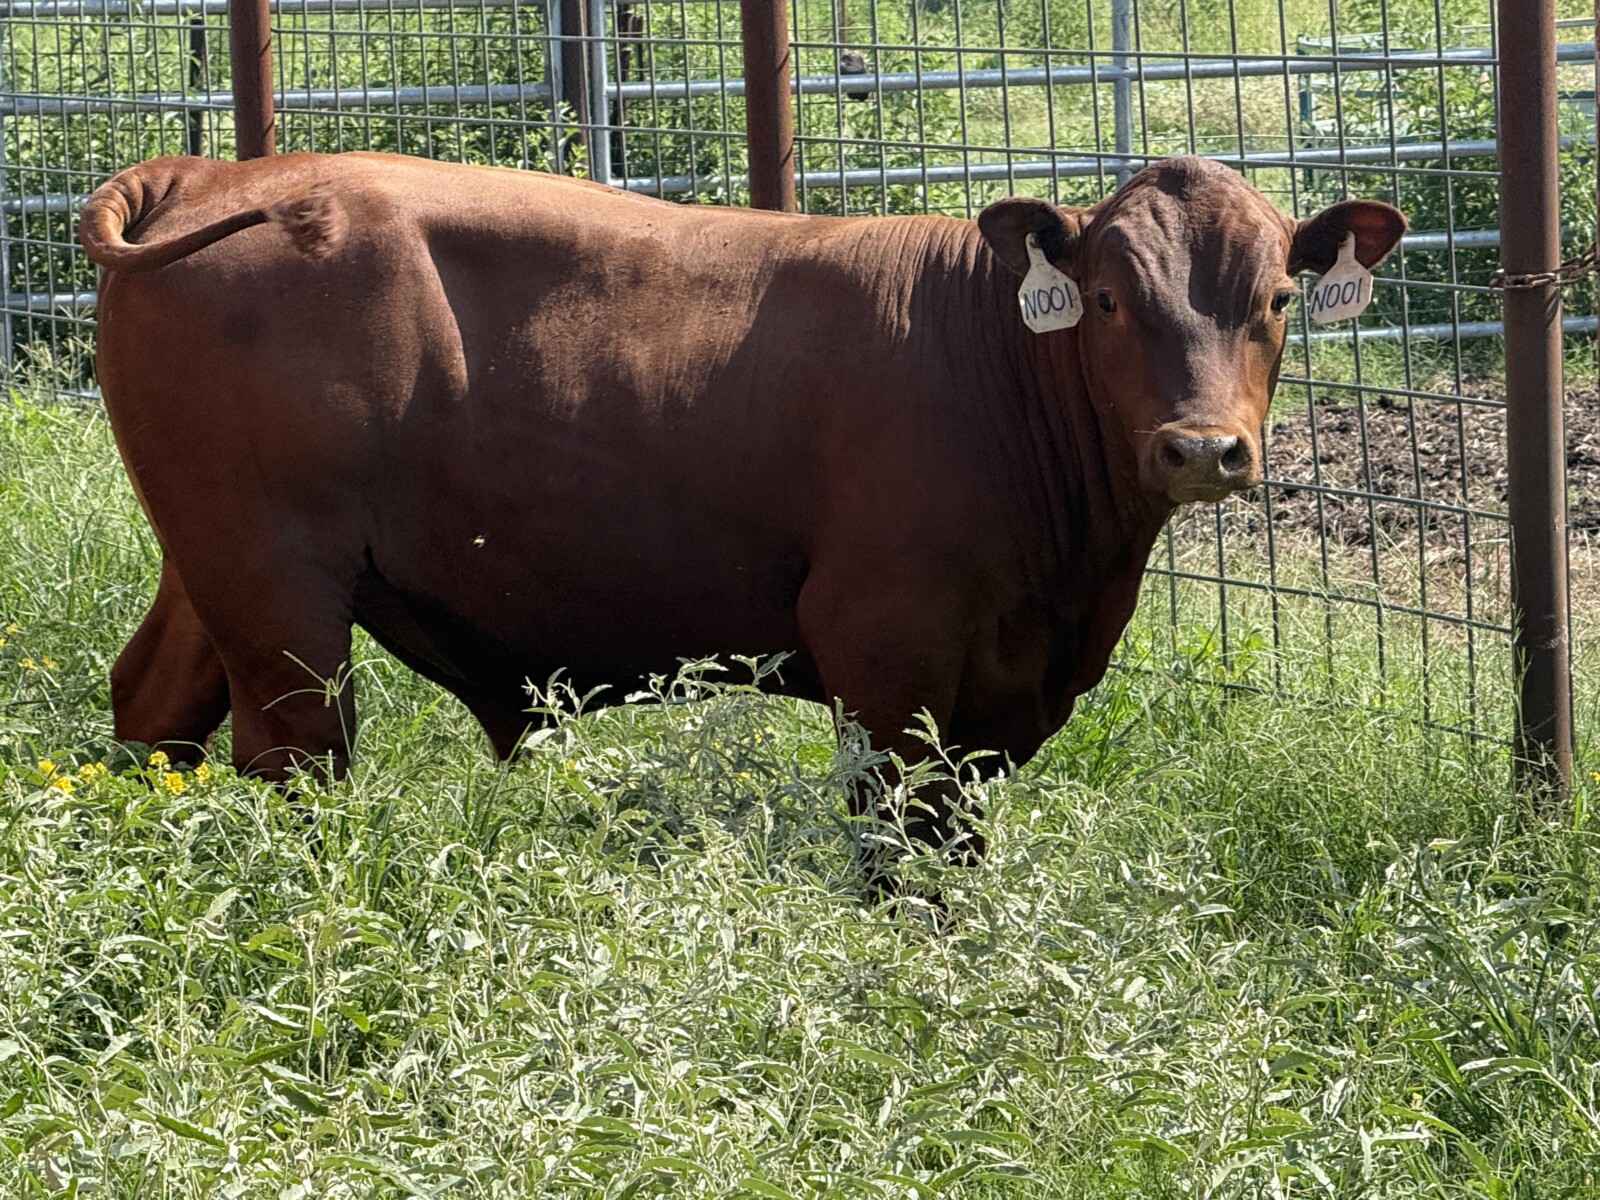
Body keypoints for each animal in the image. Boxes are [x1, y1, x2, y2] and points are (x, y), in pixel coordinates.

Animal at [79, 152, 1404, 861]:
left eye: (1276, 298)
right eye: (1113, 299)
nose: (1201, 448)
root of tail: (218, 172)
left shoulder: (998, 699)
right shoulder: (888, 656)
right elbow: (902, 858)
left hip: (215, 566)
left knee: (155, 706)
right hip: (278, 590)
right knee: (291, 757)